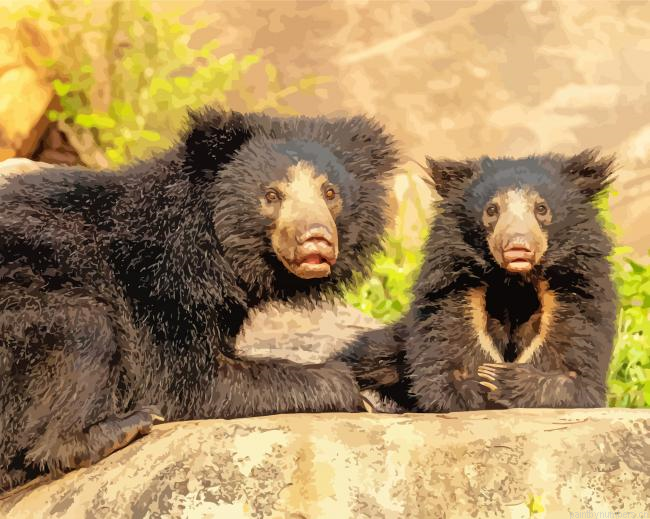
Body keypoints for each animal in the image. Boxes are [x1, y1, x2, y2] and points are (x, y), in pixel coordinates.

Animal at [0, 107, 398, 491]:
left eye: (330, 193)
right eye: (271, 195)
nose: (315, 239)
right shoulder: (160, 283)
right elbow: (186, 382)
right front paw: (352, 391)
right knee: (83, 326)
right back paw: (119, 428)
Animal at [337, 150, 617, 413]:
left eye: (541, 208)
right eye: (492, 210)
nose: (517, 247)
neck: (514, 282)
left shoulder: (574, 294)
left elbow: (576, 374)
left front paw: (503, 380)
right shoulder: (453, 291)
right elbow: (444, 370)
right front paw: (483, 381)